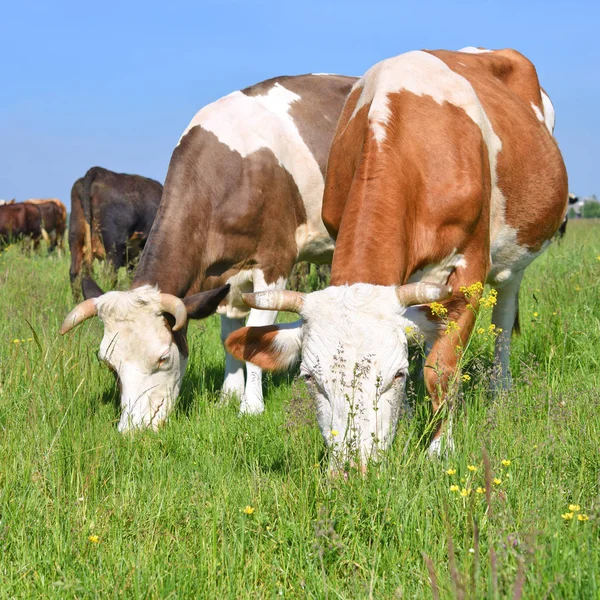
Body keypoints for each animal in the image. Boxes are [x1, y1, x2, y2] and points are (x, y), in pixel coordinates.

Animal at [224, 48, 568, 468]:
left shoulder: (469, 266)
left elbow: (442, 369)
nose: (352, 468)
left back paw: (500, 388)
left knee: (503, 316)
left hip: (514, 257)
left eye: (396, 375)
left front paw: (440, 448)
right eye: (310, 379)